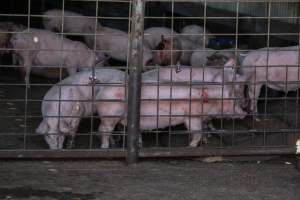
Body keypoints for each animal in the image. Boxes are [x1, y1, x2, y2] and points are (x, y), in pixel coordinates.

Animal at [96, 69, 246, 148]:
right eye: (233, 100)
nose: (245, 112)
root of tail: (101, 92)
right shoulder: (192, 115)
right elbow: (196, 131)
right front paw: (191, 146)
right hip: (110, 115)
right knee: (104, 130)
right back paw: (105, 147)